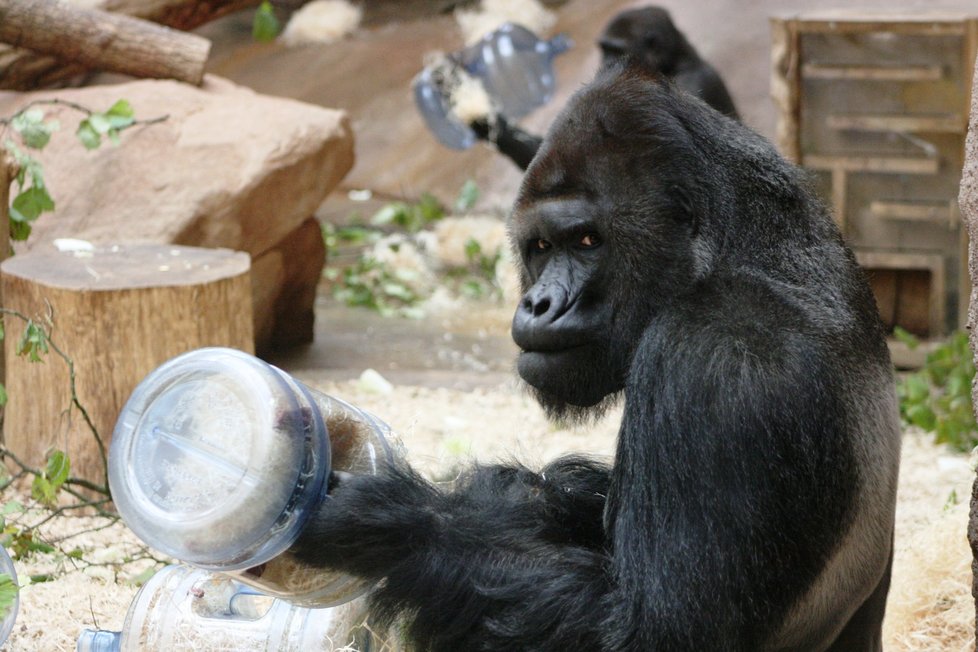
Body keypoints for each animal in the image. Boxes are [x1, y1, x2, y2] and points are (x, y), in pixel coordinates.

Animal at [296, 62, 900, 652]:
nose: (537, 304)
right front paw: (508, 494)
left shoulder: (720, 359)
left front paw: (388, 523)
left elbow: (652, 630)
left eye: (587, 242)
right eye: (540, 248)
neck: (741, 248)